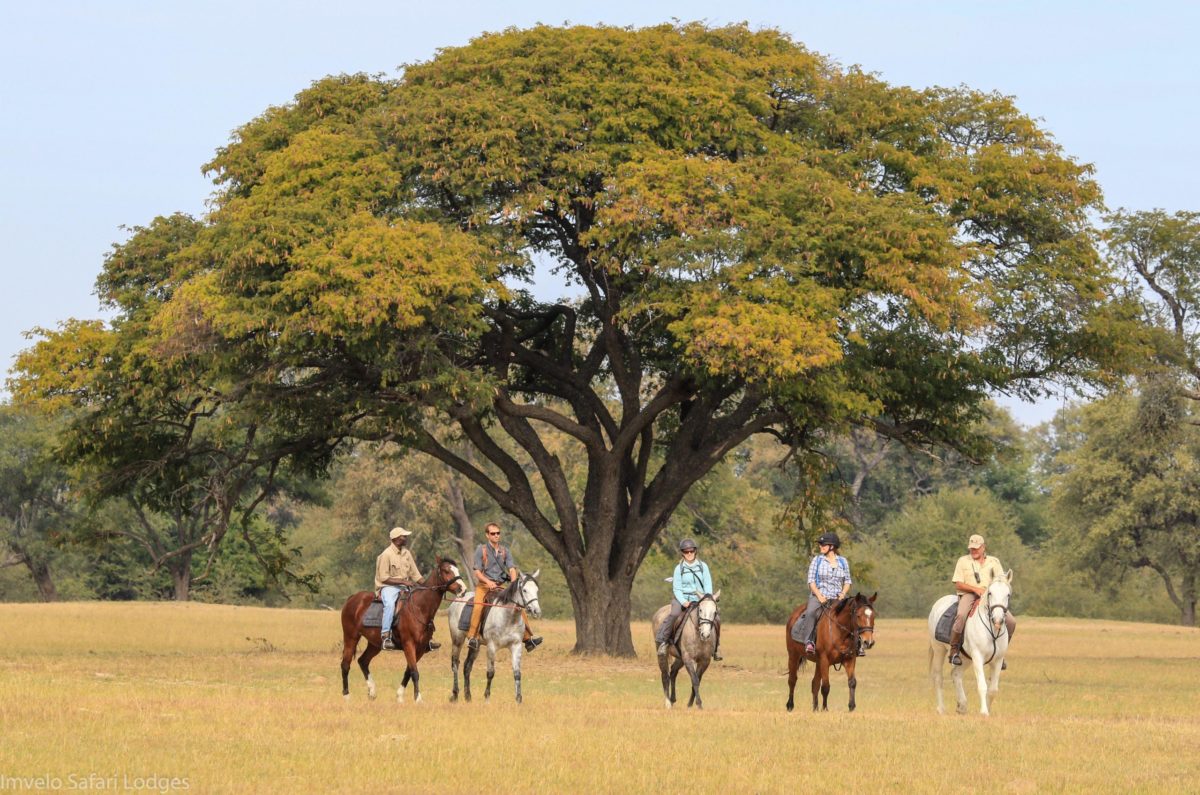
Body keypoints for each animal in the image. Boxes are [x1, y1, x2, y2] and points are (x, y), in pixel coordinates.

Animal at [343, 557, 468, 706]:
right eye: (446, 570)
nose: (463, 589)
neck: (419, 607)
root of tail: (352, 598)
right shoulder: (409, 645)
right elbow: (414, 672)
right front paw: (418, 699)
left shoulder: (420, 649)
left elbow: (408, 671)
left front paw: (400, 696)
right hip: (350, 638)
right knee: (345, 664)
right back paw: (347, 696)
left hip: (374, 644)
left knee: (363, 661)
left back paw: (372, 691)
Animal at [448, 569, 542, 706]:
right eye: (524, 590)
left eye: (536, 589)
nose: (536, 611)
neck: (508, 617)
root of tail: (456, 601)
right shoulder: (492, 647)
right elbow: (490, 672)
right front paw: (487, 697)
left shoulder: (516, 646)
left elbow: (517, 673)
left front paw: (519, 699)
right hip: (457, 640)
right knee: (455, 663)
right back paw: (455, 695)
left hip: (475, 645)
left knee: (467, 666)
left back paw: (468, 696)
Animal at [926, 569, 1012, 720]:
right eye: (990, 593)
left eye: (1008, 594)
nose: (998, 619)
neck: (991, 630)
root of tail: (938, 603)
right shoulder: (978, 657)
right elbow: (982, 686)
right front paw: (984, 712)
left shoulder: (997, 660)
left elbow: (993, 689)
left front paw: (988, 710)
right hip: (939, 650)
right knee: (938, 677)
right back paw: (941, 709)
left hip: (965, 658)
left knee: (956, 674)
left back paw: (962, 706)